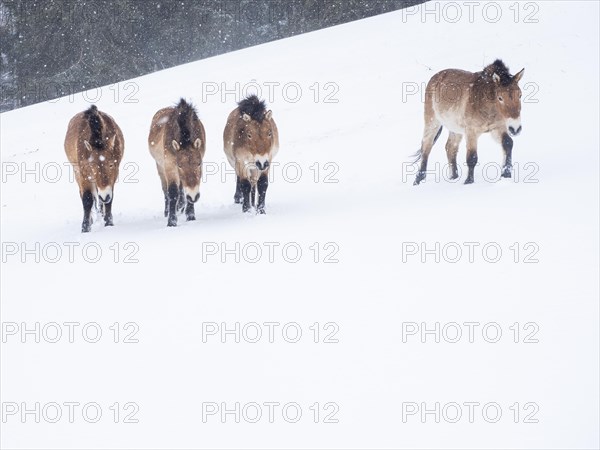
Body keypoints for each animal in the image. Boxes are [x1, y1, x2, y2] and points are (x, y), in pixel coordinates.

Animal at [149, 97, 206, 225]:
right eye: (180, 165)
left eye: (199, 163)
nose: (193, 196)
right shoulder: (170, 166)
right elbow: (172, 192)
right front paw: (171, 221)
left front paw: (190, 216)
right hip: (160, 167)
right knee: (165, 190)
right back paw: (167, 211)